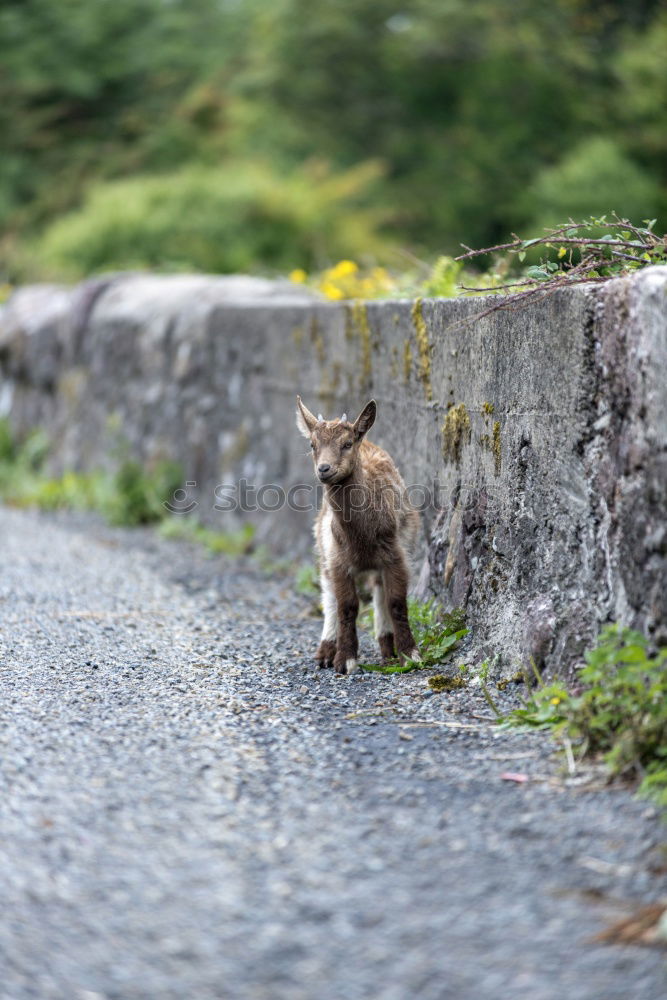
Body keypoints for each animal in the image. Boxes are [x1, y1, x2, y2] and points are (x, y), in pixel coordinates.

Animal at [296, 394, 418, 676]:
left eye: (347, 443)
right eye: (312, 444)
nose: (324, 468)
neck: (361, 538)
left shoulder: (396, 555)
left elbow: (396, 601)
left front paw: (410, 654)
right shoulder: (338, 560)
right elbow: (347, 606)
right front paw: (345, 660)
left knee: (378, 592)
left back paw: (387, 649)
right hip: (323, 548)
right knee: (328, 595)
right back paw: (325, 651)